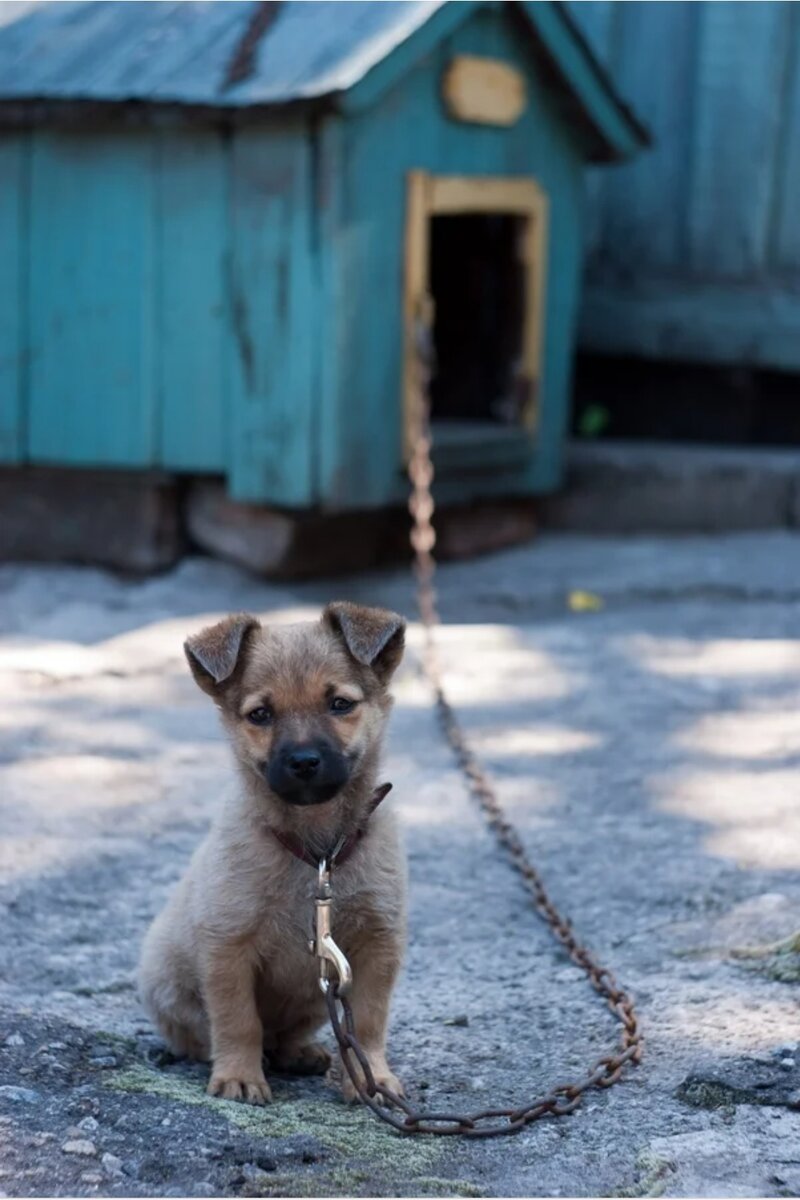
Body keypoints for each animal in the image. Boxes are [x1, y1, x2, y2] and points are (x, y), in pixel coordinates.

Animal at [136, 600, 407, 1104]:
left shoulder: (378, 943)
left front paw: (373, 1079)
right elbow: (238, 1020)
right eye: (260, 714)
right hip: (167, 982)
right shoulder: (228, 946)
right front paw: (240, 1076)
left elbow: (370, 1020)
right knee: (210, 1034)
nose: (303, 762)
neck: (317, 852)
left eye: (340, 704)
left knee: (288, 1035)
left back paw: (303, 1054)